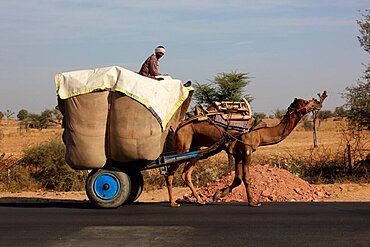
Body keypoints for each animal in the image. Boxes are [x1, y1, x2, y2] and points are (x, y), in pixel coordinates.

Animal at [165, 91, 326, 207]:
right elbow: (247, 178)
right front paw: (253, 202)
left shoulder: (237, 153)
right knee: (170, 170)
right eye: (306, 102)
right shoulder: (247, 150)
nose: (318, 103)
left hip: (196, 147)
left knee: (186, 173)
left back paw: (200, 200)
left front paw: (217, 195)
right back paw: (173, 203)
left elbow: (238, 178)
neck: (260, 132)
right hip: (183, 144)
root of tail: (179, 125)